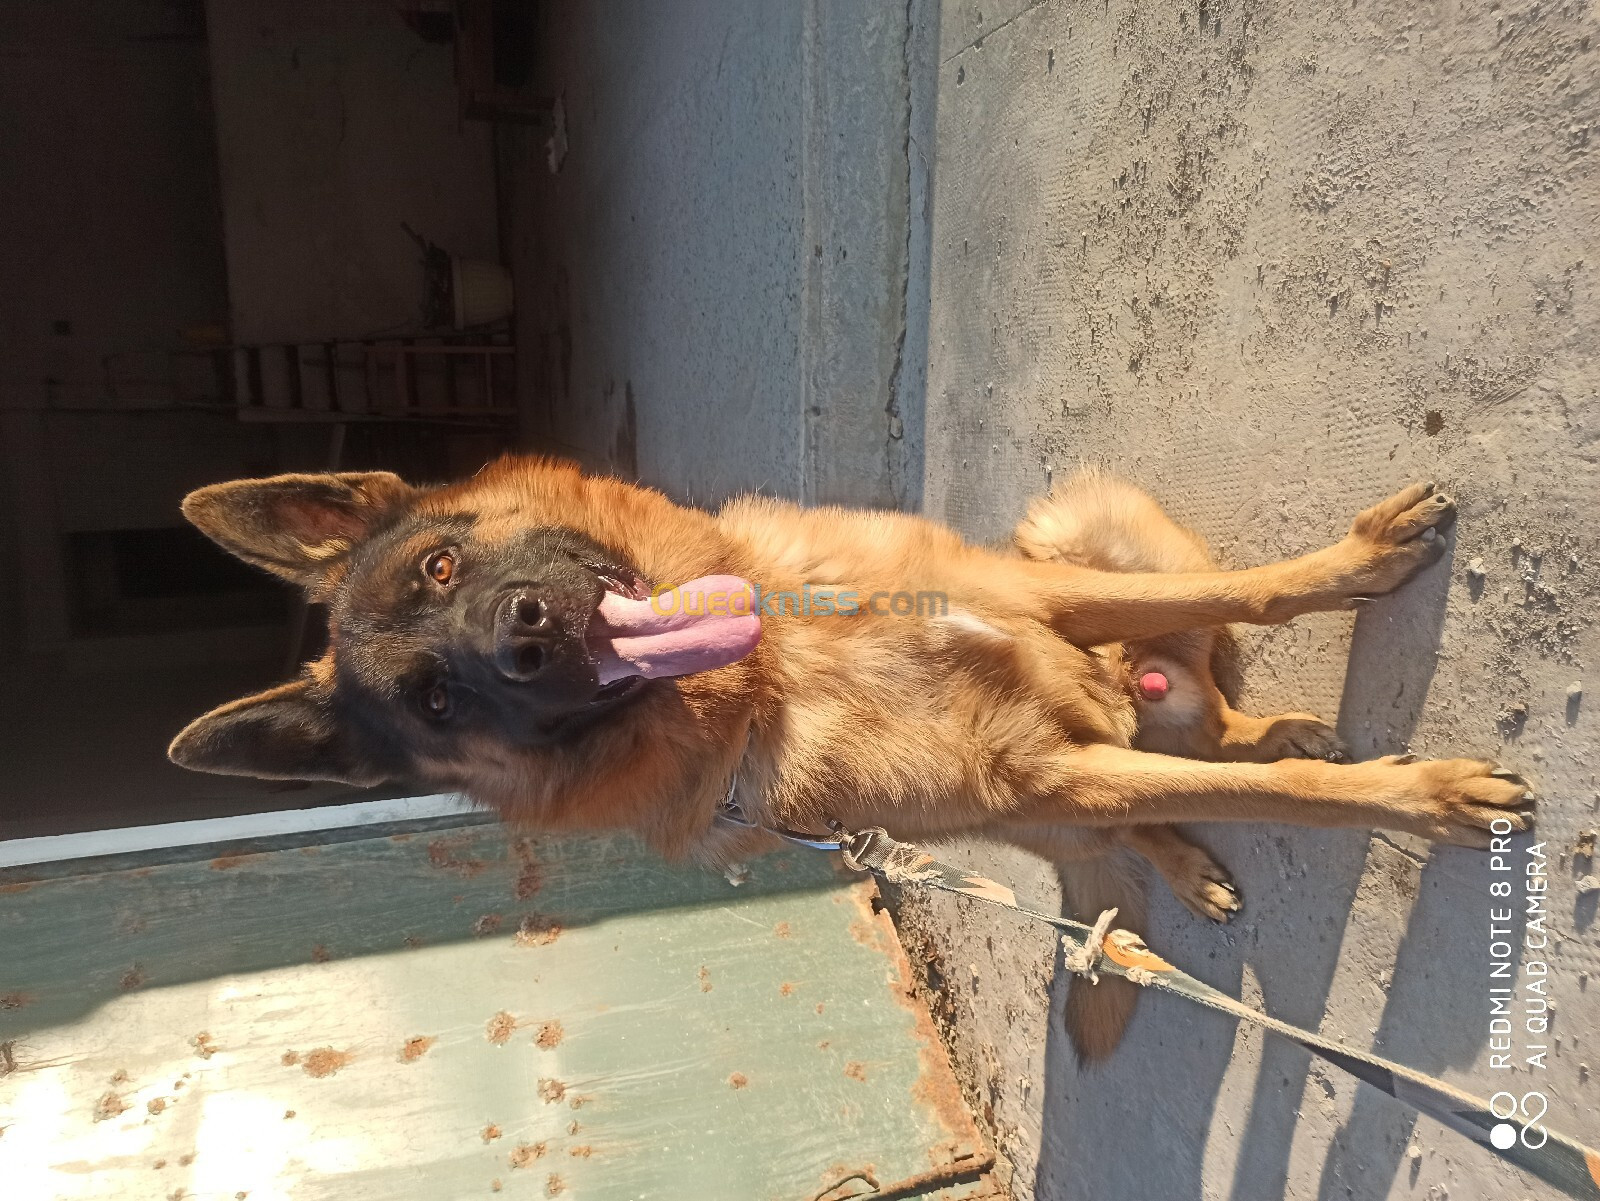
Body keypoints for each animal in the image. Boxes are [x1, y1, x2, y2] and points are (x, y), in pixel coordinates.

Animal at [168, 460, 1529, 1061]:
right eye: (437, 699)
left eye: (440, 568)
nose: (524, 635)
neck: (780, 665)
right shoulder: (1049, 779)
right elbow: (1279, 795)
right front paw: (1423, 796)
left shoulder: (1041, 597)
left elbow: (1251, 591)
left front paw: (1358, 563)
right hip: (1064, 786)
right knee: (1162, 791)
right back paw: (1182, 860)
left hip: (1078, 527)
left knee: (1206, 691)